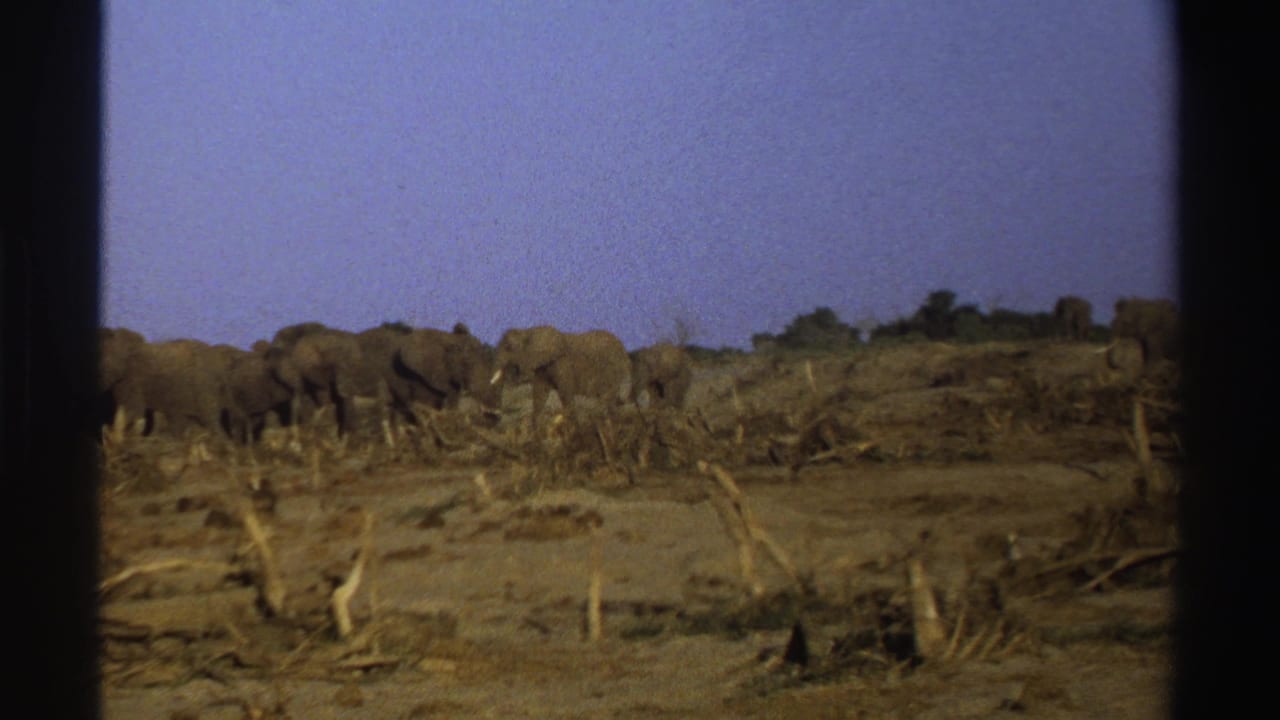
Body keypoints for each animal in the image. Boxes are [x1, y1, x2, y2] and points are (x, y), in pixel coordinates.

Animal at [491, 326, 631, 420]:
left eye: (509, 347)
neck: (528, 331)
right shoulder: (543, 368)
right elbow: (539, 394)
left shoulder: (562, 364)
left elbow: (565, 393)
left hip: (614, 370)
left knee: (608, 399)